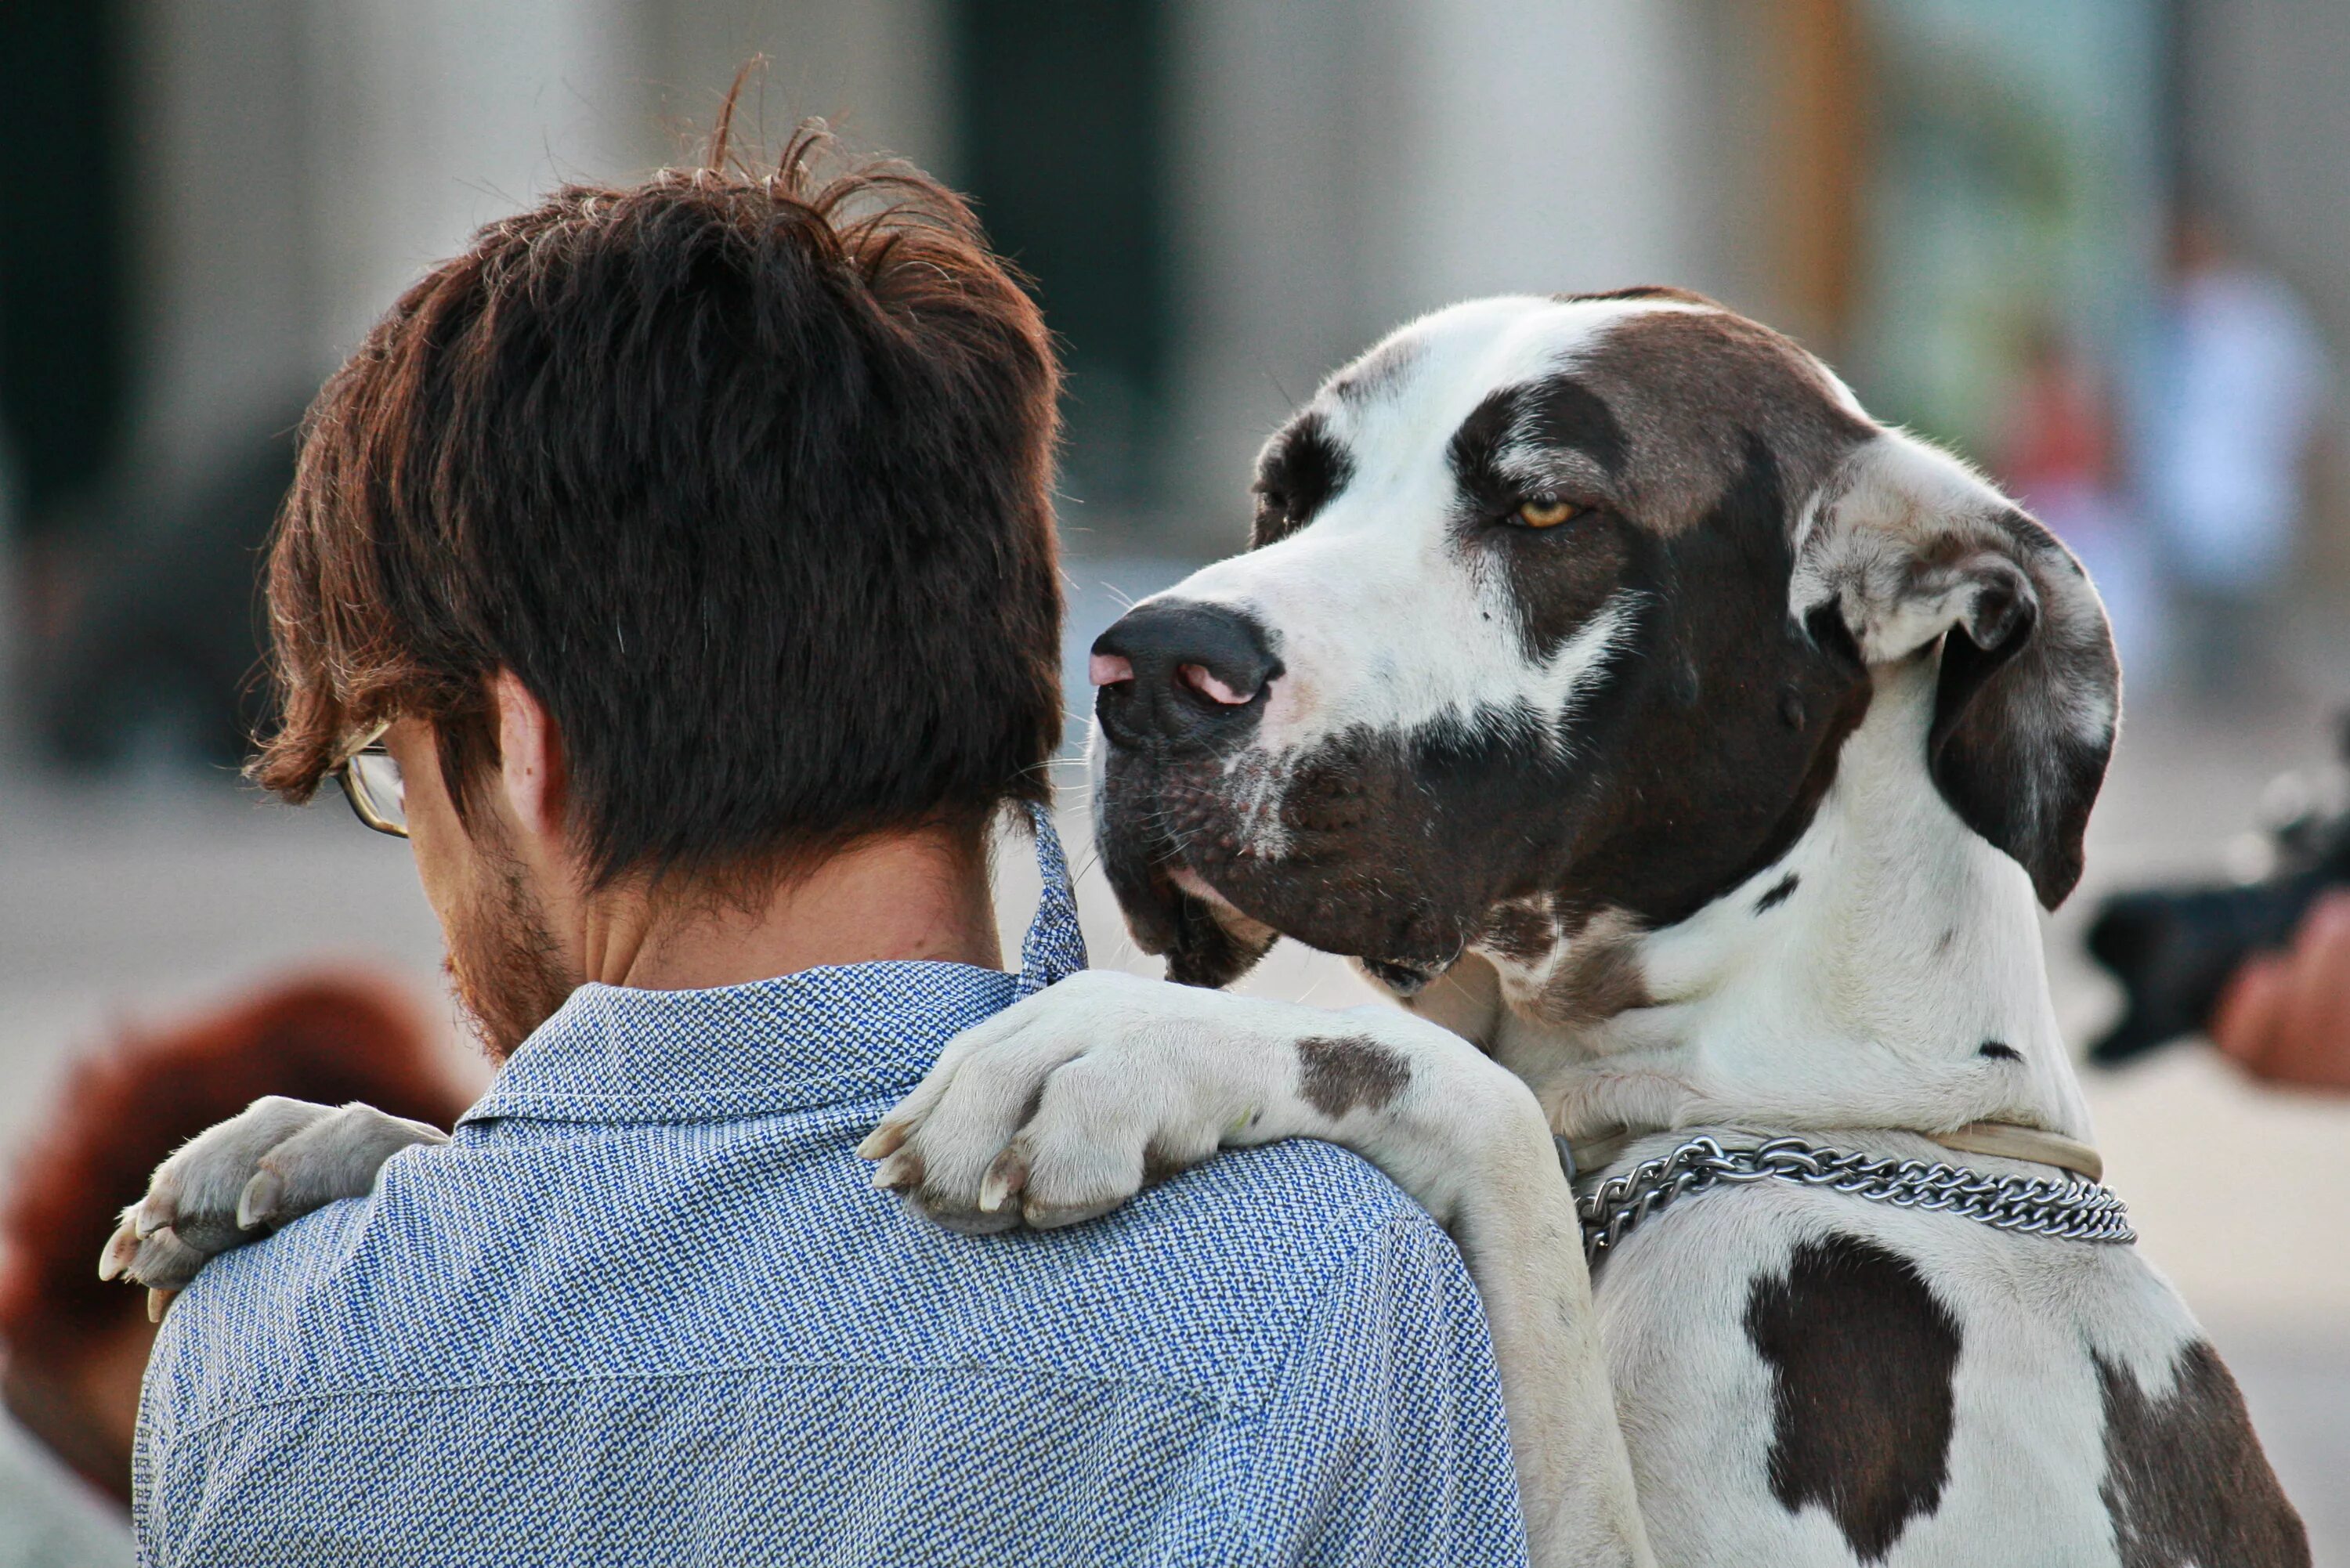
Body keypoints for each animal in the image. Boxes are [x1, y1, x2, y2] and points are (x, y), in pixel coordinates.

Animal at [119, 294, 2303, 1568]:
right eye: (1288, 486)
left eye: (1543, 507)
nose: (1148, 665)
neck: (1769, 1105)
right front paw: (309, 1132)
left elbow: (1457, 1124)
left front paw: (1105, 1044)